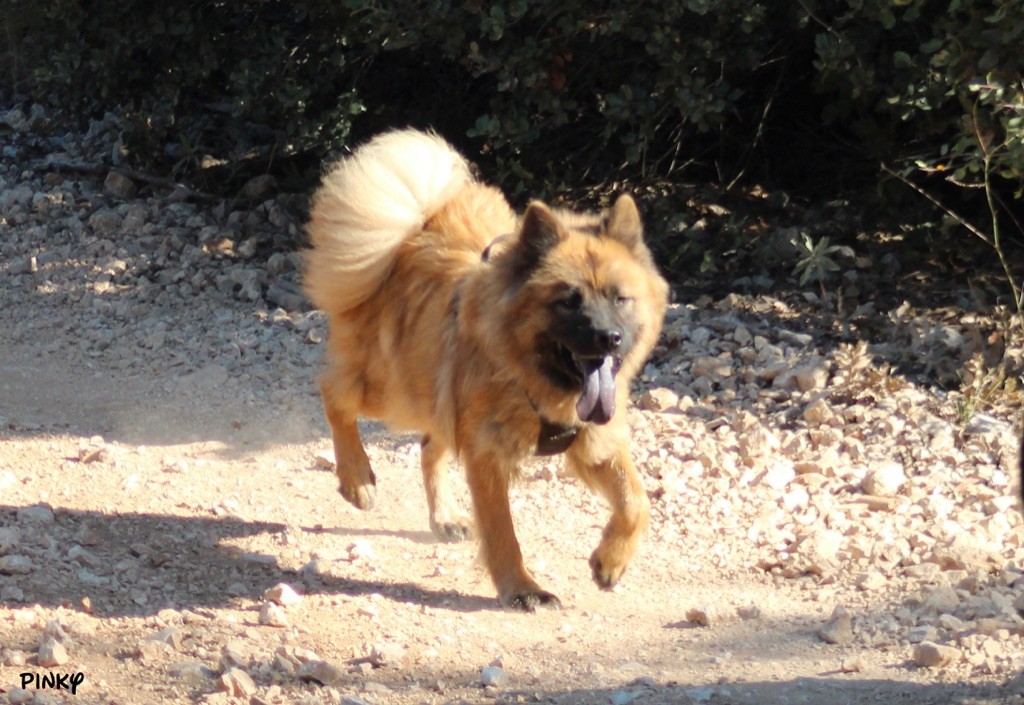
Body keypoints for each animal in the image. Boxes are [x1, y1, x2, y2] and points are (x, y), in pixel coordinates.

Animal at [303, 132, 671, 610]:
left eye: (619, 297)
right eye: (568, 301)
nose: (609, 338)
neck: (530, 377)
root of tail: (413, 231)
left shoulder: (594, 440)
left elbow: (636, 502)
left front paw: (610, 561)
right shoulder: (487, 454)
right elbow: (502, 531)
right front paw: (521, 588)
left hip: (436, 394)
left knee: (428, 445)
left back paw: (443, 516)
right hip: (396, 387)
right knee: (334, 392)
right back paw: (356, 477)